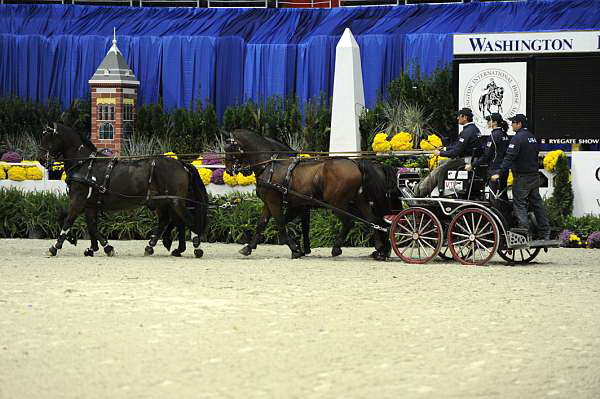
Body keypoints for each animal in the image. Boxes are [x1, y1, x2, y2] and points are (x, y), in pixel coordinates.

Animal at [39, 123, 209, 258]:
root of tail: (181, 164)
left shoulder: (78, 200)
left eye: (47, 138)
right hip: (163, 202)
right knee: (167, 221)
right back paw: (154, 247)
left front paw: (54, 247)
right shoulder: (89, 204)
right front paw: (98, 247)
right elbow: (90, 225)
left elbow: (67, 221)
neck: (84, 164)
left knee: (188, 221)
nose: (41, 160)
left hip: (175, 201)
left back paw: (197, 249)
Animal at [225, 128, 390, 260]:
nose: (228, 170)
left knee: (349, 222)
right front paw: (248, 247)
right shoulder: (273, 203)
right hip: (359, 200)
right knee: (372, 219)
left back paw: (337, 248)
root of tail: (355, 164)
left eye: (229, 148)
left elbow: (280, 225)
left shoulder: (275, 202)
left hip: (336, 203)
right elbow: (262, 224)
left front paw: (295, 249)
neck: (271, 165)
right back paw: (380, 248)